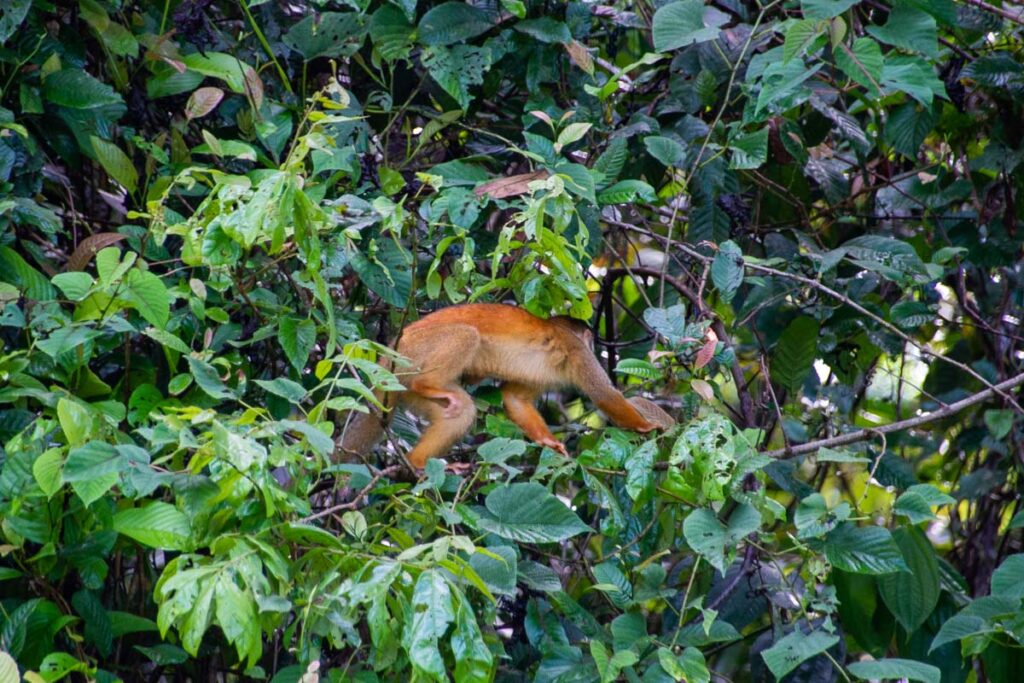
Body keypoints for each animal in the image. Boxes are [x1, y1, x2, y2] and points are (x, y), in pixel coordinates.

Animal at [339, 303, 675, 469]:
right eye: (589, 341)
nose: (595, 345)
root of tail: (386, 355)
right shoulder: (577, 351)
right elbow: (604, 394)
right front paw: (646, 426)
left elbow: (515, 400)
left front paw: (547, 441)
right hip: (412, 354)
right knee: (467, 334)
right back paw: (429, 384)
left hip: (403, 386)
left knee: (461, 410)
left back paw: (419, 464)